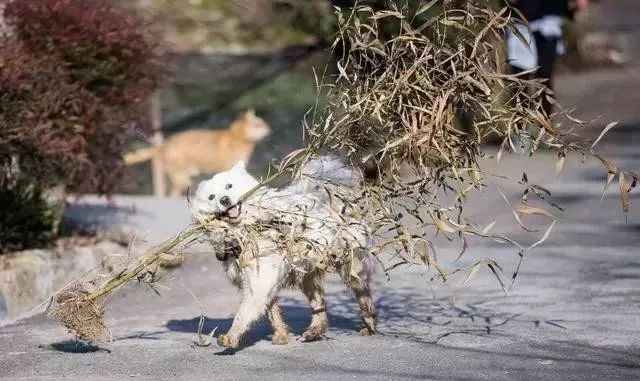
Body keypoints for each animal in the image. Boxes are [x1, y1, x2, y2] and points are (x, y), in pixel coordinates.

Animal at [124, 110, 270, 196]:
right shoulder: (228, 168)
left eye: (263, 123)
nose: (269, 129)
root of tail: (163, 146)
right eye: (258, 125)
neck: (238, 138)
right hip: (182, 179)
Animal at [192, 157, 378, 348]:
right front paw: (282, 336)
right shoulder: (261, 282)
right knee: (319, 303)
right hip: (307, 275)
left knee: (363, 293)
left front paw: (231, 336)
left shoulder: (259, 282)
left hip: (351, 267)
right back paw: (314, 331)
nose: (224, 200)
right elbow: (273, 313)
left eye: (229, 186)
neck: (244, 232)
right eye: (211, 197)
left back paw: (368, 324)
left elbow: (243, 314)